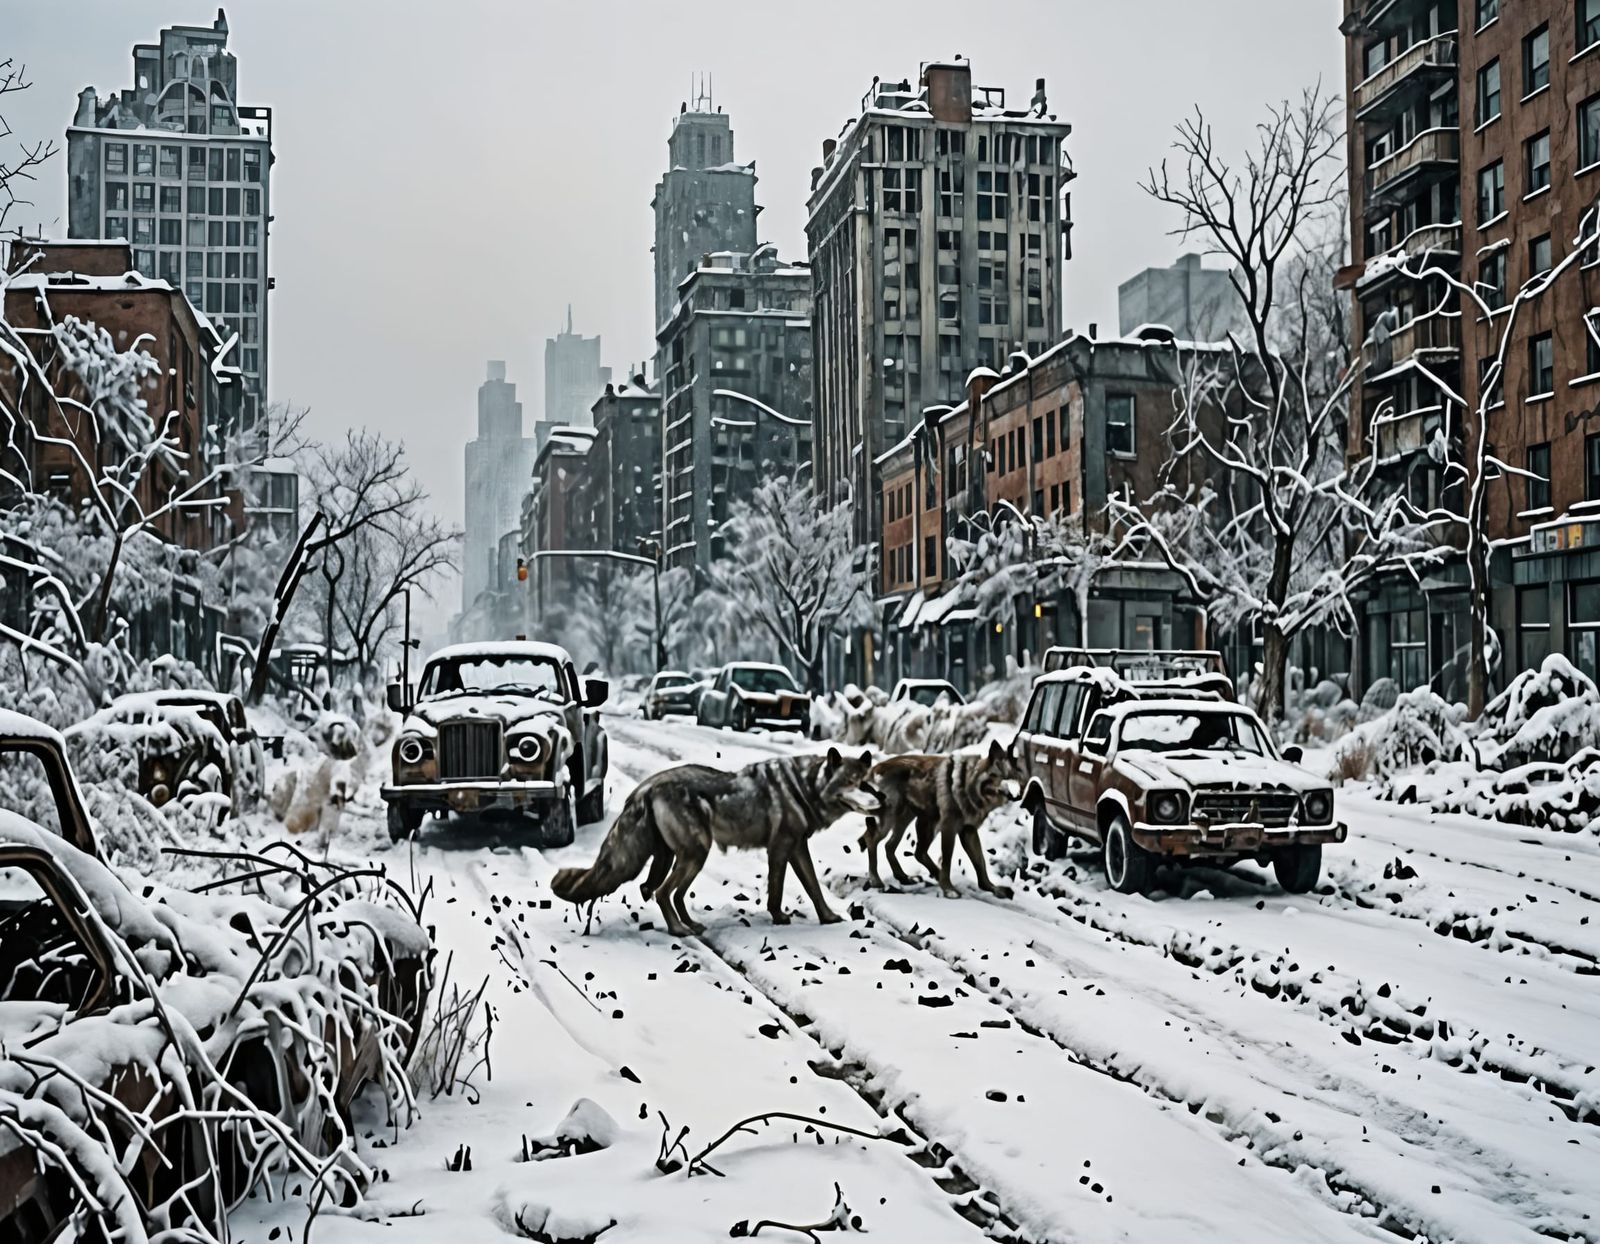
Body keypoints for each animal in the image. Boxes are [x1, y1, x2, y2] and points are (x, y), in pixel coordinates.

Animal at [550, 747, 878, 937]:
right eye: (853, 783)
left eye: (869, 782)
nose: (882, 799)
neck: (806, 785)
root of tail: (646, 788)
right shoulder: (780, 849)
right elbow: (777, 890)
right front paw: (778, 917)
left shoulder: (797, 848)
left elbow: (813, 887)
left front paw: (828, 917)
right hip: (695, 854)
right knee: (662, 891)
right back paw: (678, 930)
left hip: (680, 857)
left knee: (668, 892)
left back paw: (691, 925)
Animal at [861, 738, 1022, 897]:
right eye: (998, 777)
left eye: (1014, 778)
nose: (1014, 793)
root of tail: (876, 767)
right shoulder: (949, 828)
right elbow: (947, 861)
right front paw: (949, 889)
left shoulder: (968, 831)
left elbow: (980, 863)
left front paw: (992, 888)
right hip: (895, 819)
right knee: (872, 838)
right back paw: (876, 880)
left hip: (913, 821)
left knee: (899, 848)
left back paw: (904, 877)